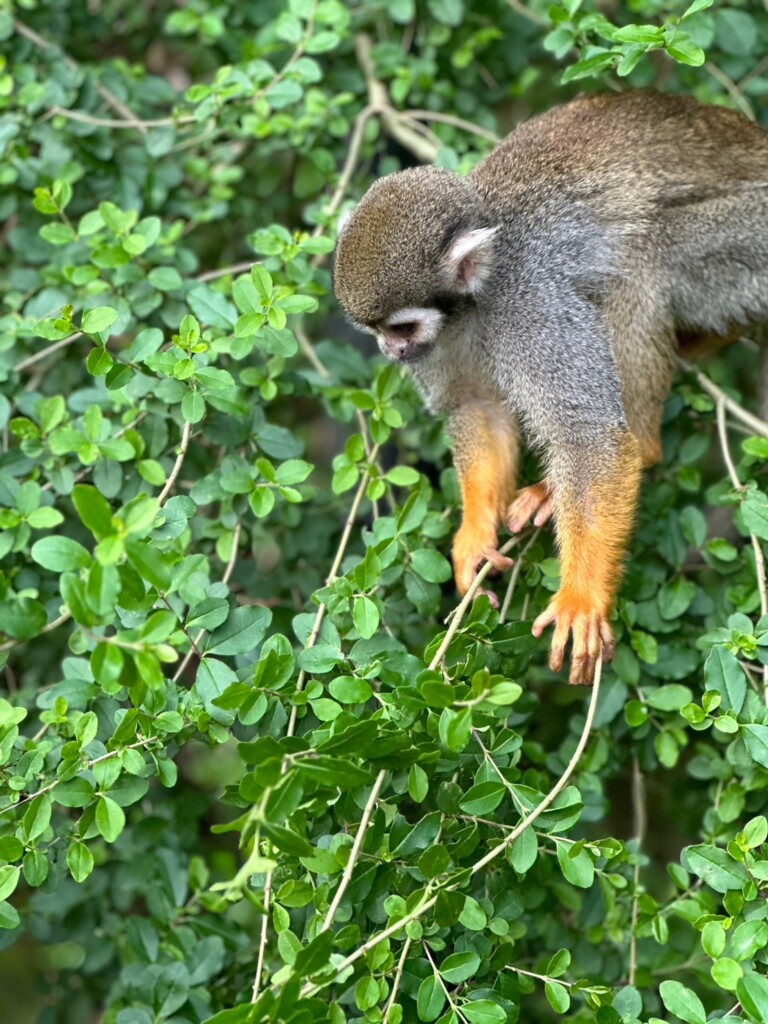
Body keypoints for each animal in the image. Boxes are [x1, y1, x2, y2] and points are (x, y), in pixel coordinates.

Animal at [333, 92, 768, 684]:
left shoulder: (531, 304)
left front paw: (581, 598)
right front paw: (475, 536)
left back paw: (639, 447)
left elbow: (589, 436)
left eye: (400, 328)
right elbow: (476, 406)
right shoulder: (445, 343)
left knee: (643, 262)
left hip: (749, 240)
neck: (477, 300)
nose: (391, 354)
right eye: (376, 331)